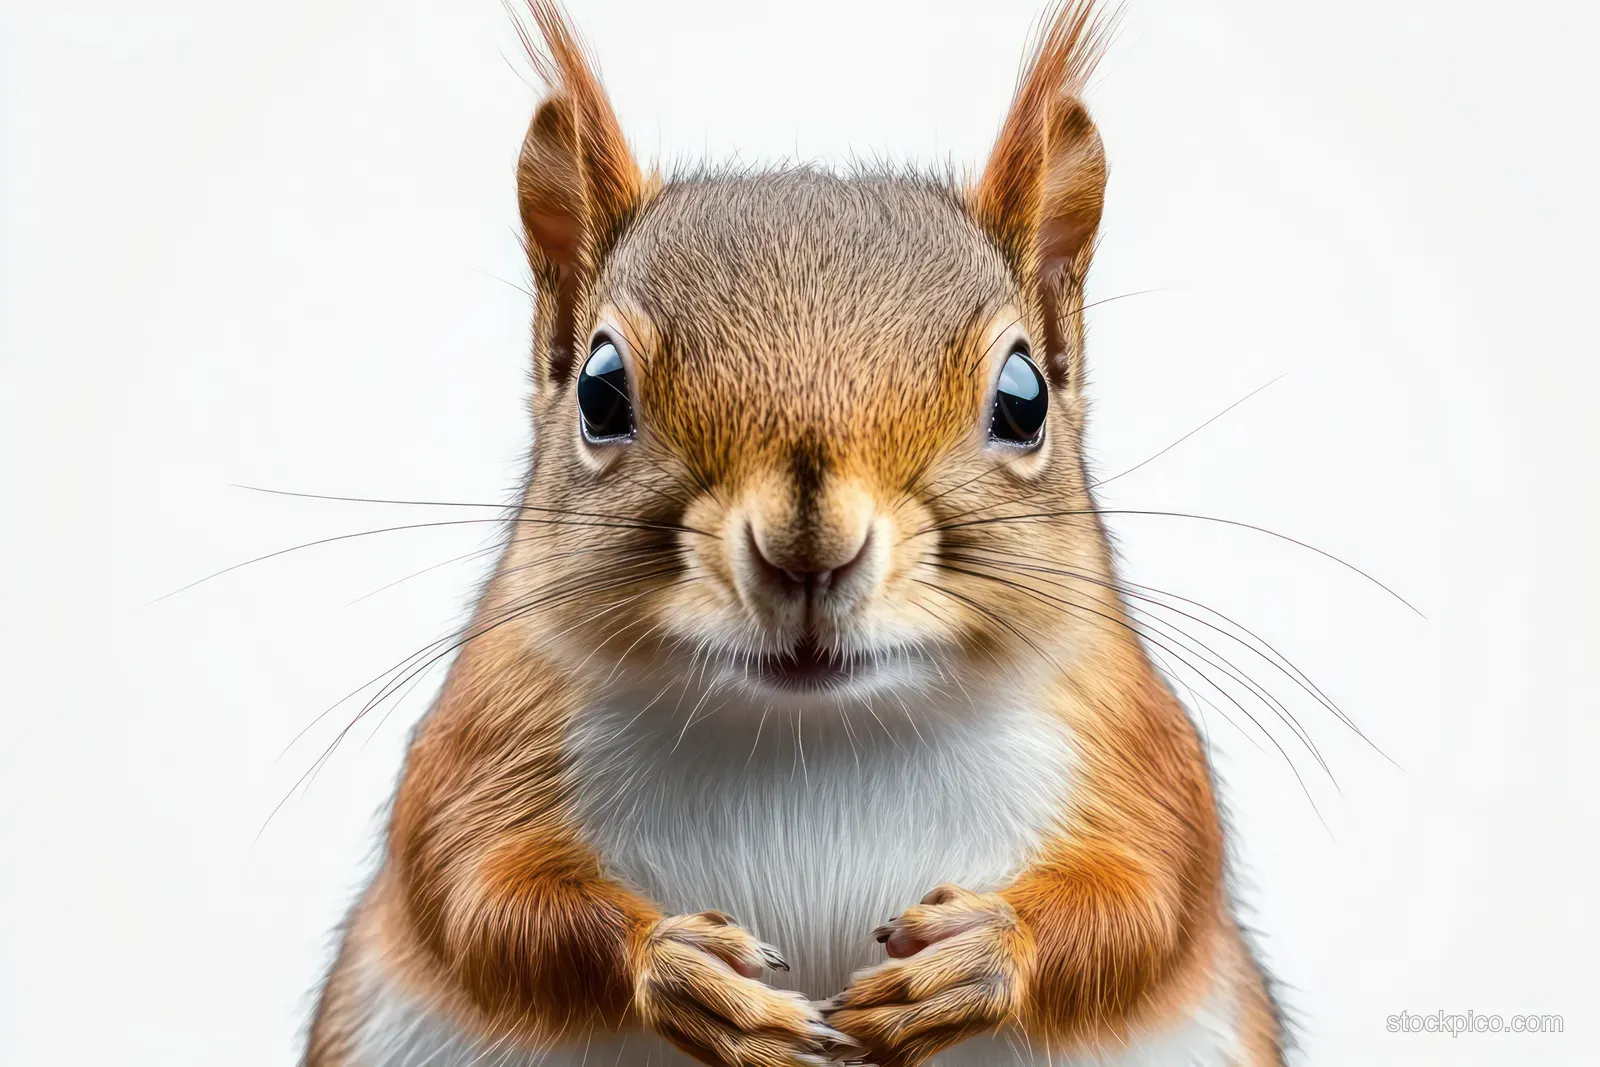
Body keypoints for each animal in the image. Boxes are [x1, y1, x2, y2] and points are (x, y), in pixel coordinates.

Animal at [302, 2, 1288, 1065]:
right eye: (600, 390)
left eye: (1024, 399)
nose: (809, 547)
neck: (813, 735)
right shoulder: (486, 729)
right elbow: (468, 885)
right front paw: (682, 969)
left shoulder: (1130, 734)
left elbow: (1154, 889)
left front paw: (978, 953)